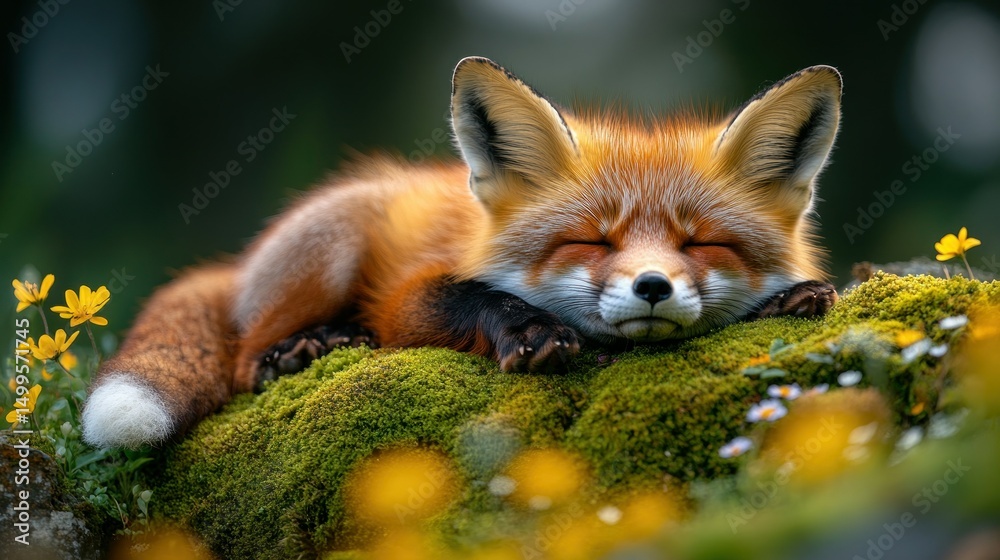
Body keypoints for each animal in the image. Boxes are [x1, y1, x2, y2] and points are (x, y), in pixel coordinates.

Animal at [81, 57, 841, 449]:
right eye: (590, 240)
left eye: (702, 243)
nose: (653, 286)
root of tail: (239, 264)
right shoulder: (407, 297)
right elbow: (476, 295)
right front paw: (532, 329)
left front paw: (789, 298)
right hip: (332, 248)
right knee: (243, 360)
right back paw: (299, 350)